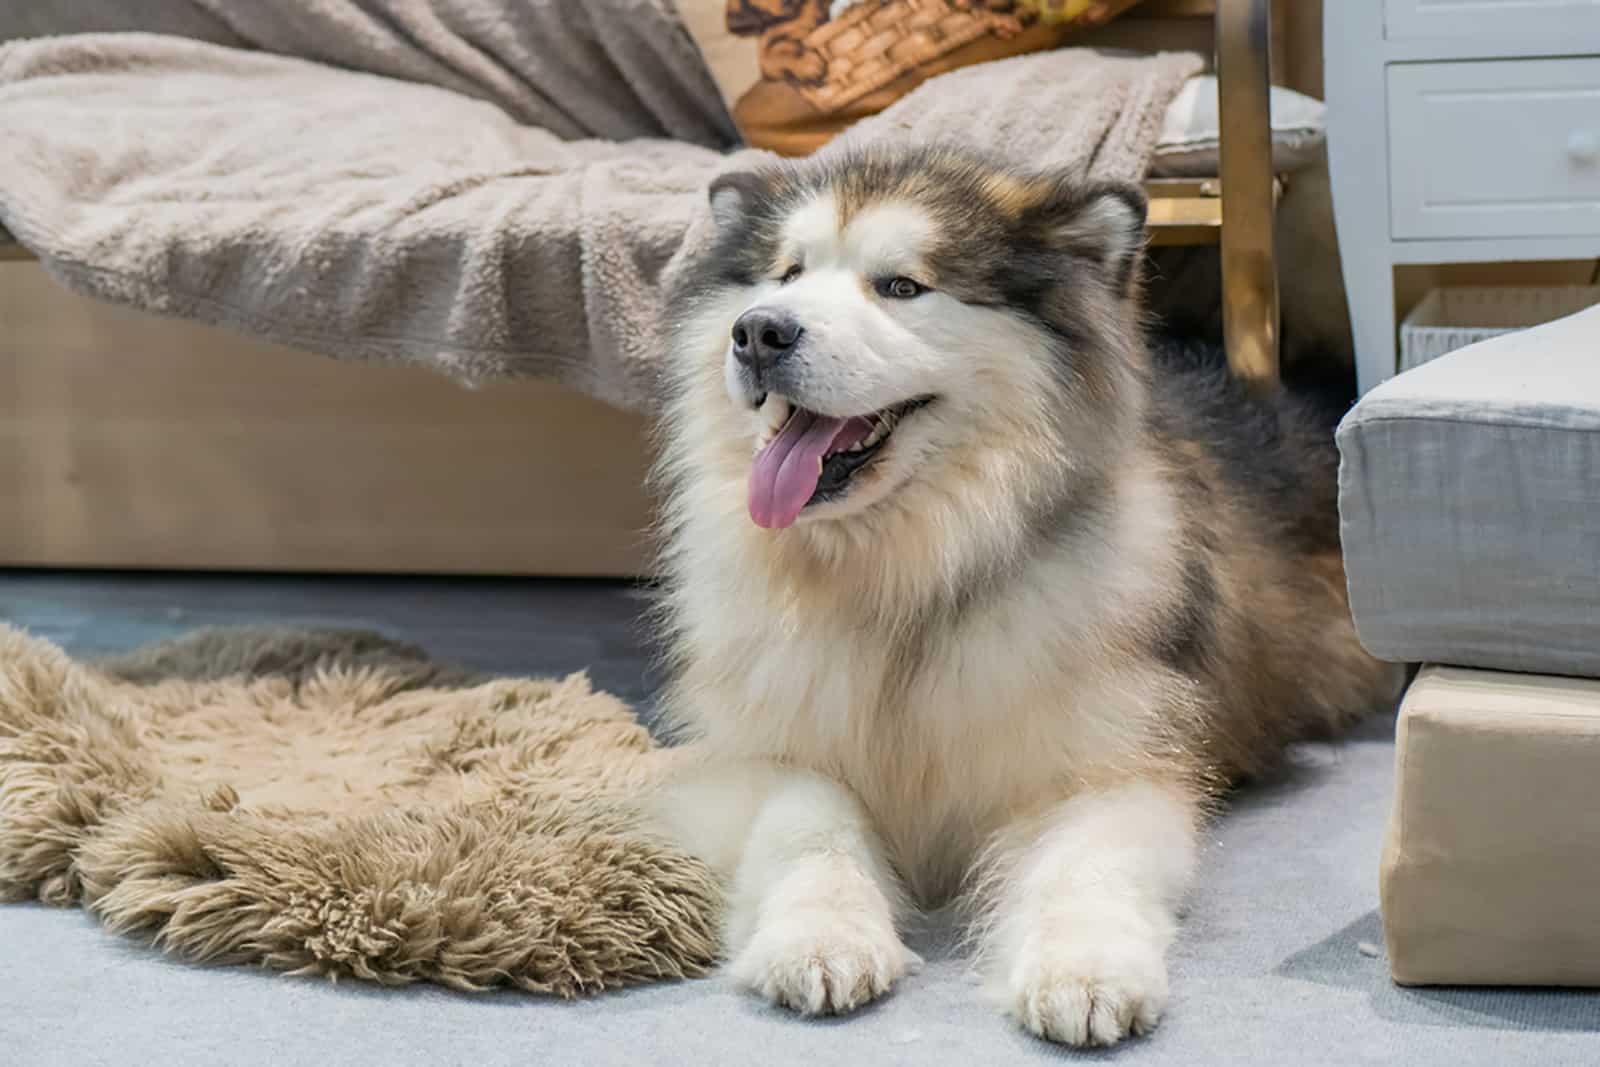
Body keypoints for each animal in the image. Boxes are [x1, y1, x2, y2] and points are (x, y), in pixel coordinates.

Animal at [649, 146, 1401, 1049]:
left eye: (901, 285)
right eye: (786, 274)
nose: (760, 330)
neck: (903, 582)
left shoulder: (1107, 763)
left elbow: (1083, 862)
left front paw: (1084, 968)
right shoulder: (753, 757)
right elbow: (809, 820)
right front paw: (821, 936)